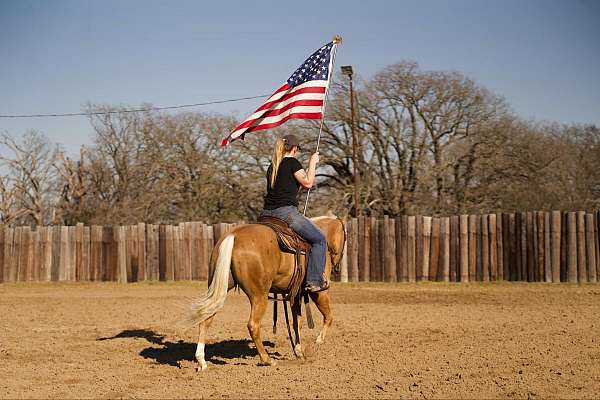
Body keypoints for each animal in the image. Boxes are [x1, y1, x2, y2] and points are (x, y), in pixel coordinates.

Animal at [188, 216, 346, 368]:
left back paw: (202, 362)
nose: (337, 268)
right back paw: (267, 360)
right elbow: (328, 317)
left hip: (220, 288)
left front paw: (299, 352)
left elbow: (297, 323)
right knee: (253, 325)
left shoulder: (295, 295)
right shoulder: (319, 291)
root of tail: (234, 235)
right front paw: (318, 341)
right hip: (259, 296)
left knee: (206, 318)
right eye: (345, 237)